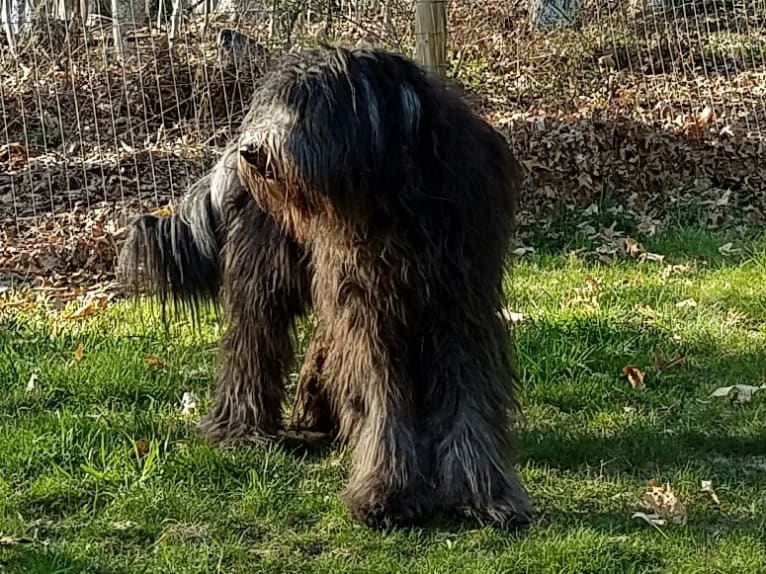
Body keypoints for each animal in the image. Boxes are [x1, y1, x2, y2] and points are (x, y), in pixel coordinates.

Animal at [123, 45, 536, 532]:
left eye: (314, 108)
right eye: (277, 103)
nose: (253, 151)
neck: (394, 201)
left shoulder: (460, 305)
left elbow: (466, 399)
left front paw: (483, 494)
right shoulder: (371, 309)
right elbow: (383, 398)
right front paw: (386, 491)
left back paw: (318, 412)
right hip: (267, 274)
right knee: (252, 344)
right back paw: (241, 429)